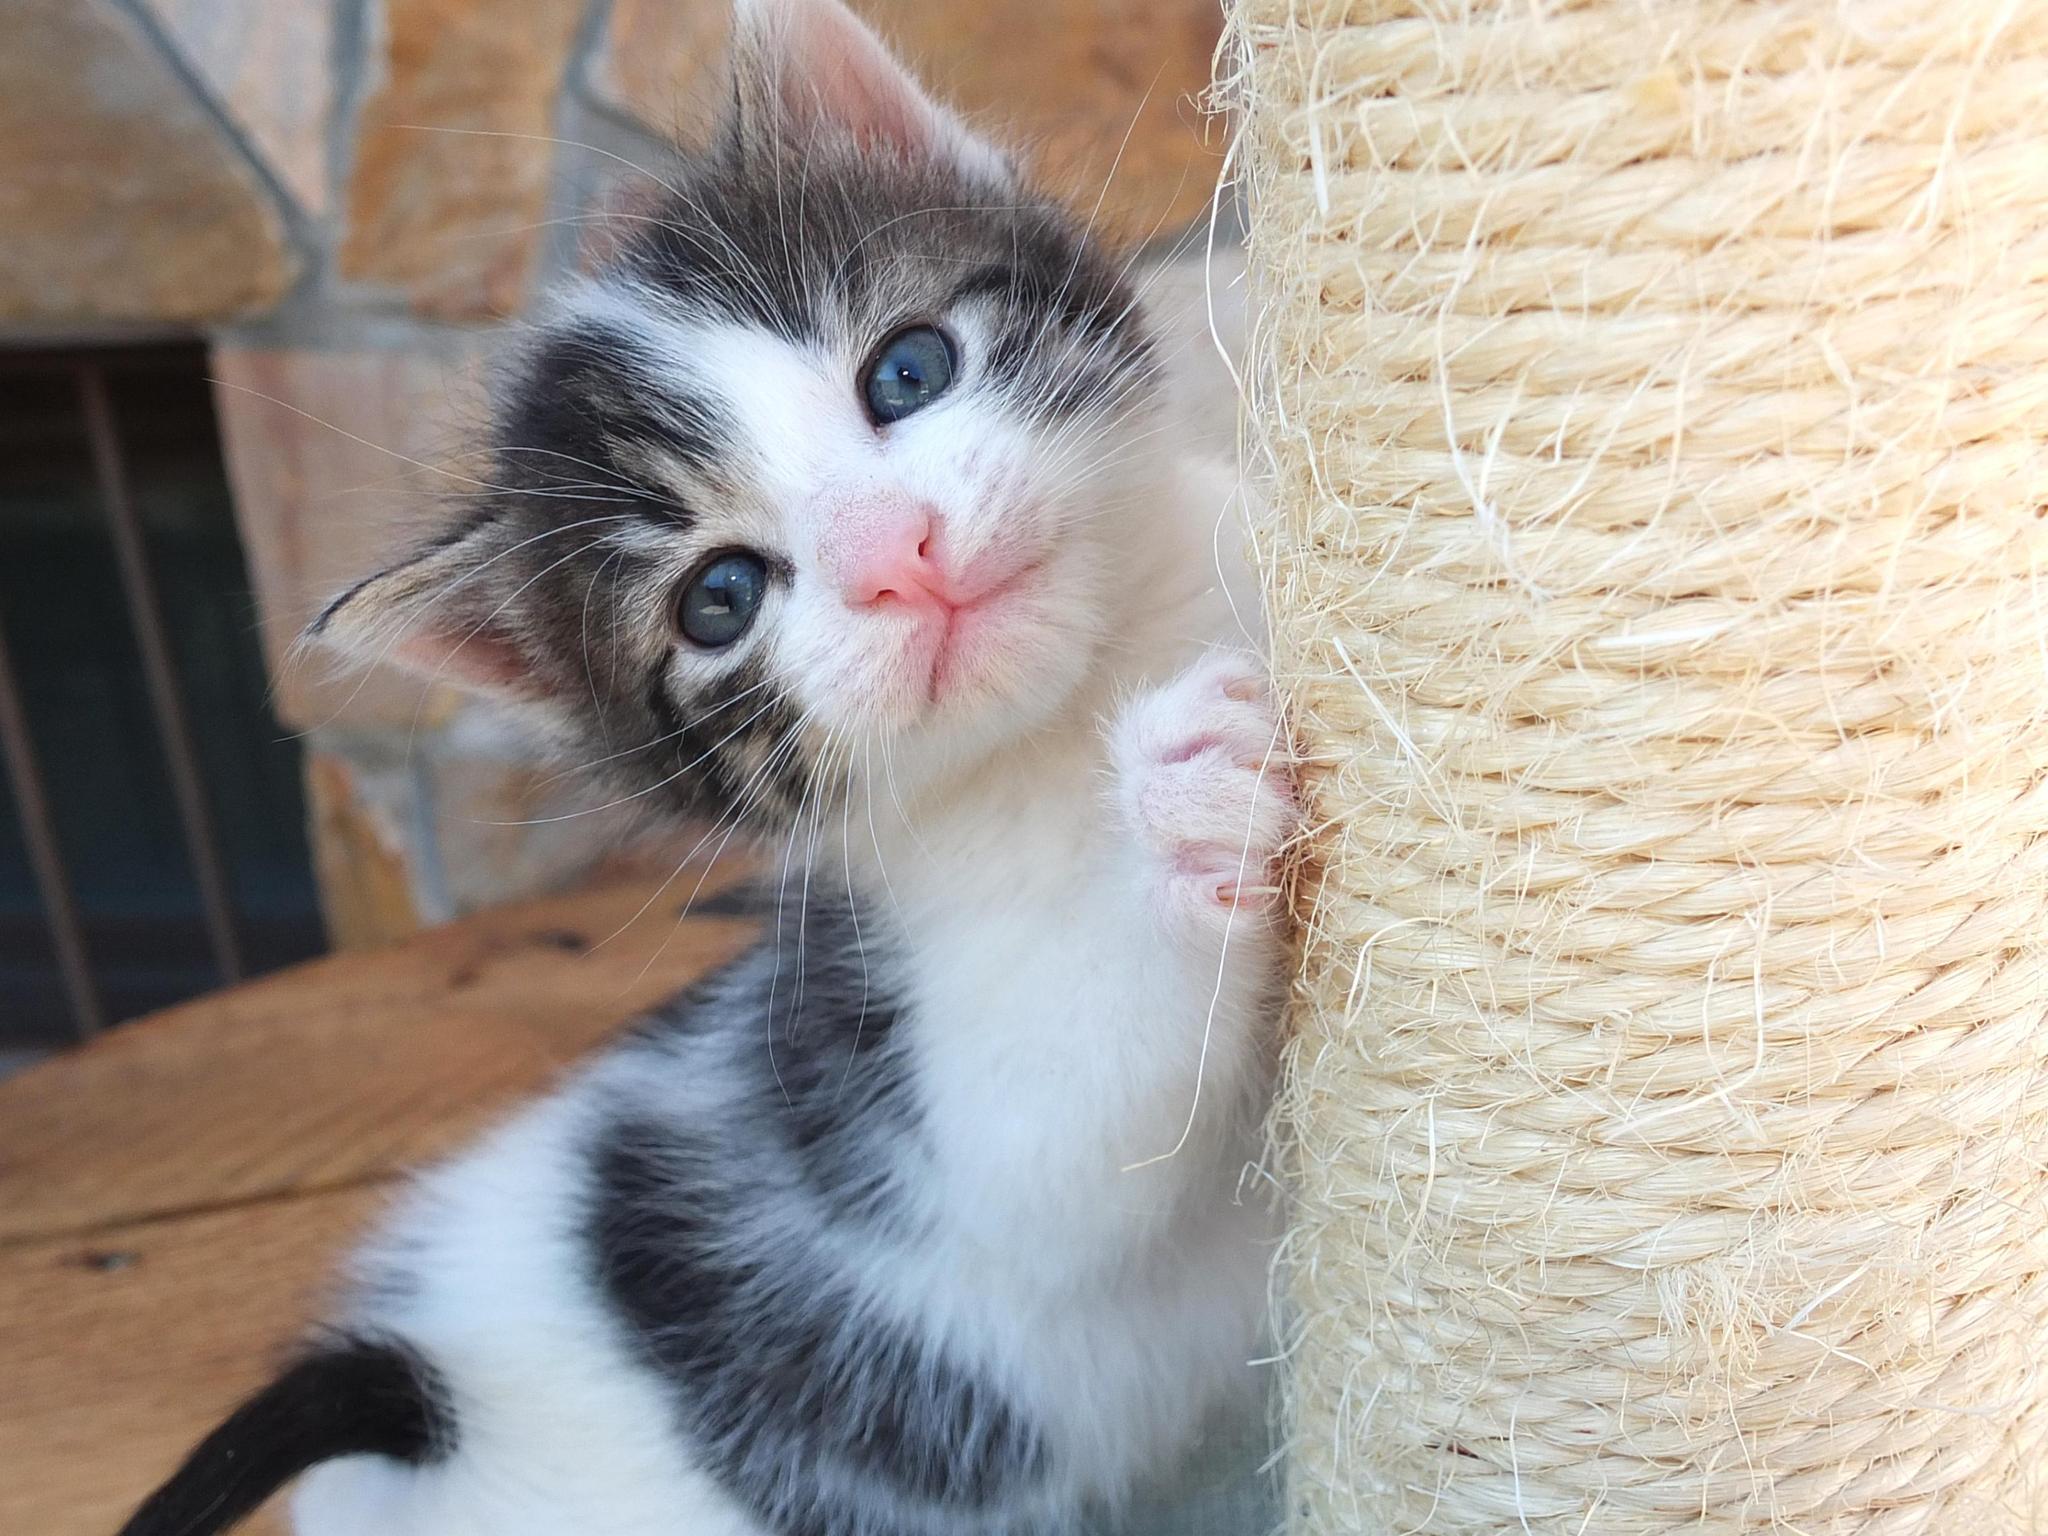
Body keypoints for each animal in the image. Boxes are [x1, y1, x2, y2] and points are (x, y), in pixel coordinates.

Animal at [118, 1, 1293, 1532]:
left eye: (906, 371)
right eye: (719, 599)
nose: (897, 557)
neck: (1082, 695)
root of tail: (426, 1390)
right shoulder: (923, 1110)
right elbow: (1060, 1143)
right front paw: (1186, 805)